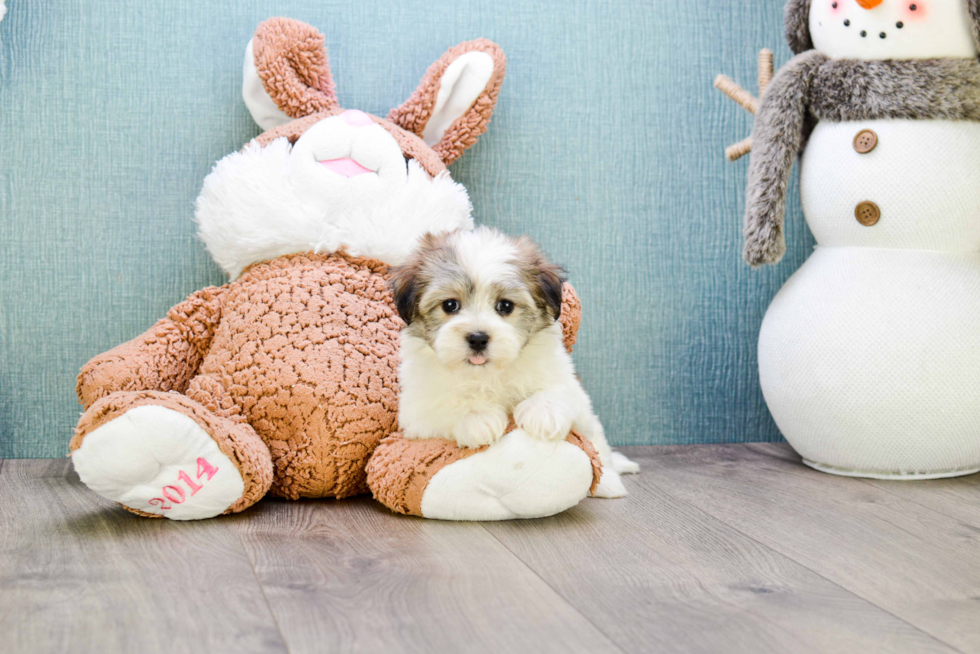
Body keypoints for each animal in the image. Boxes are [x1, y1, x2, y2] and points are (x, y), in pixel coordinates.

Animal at [394, 228, 640, 500]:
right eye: (450, 305)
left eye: (505, 306)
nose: (478, 338)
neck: (488, 374)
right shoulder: (416, 412)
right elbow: (447, 404)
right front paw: (478, 418)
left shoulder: (565, 379)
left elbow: (557, 389)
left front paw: (542, 412)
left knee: (599, 448)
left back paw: (609, 482)